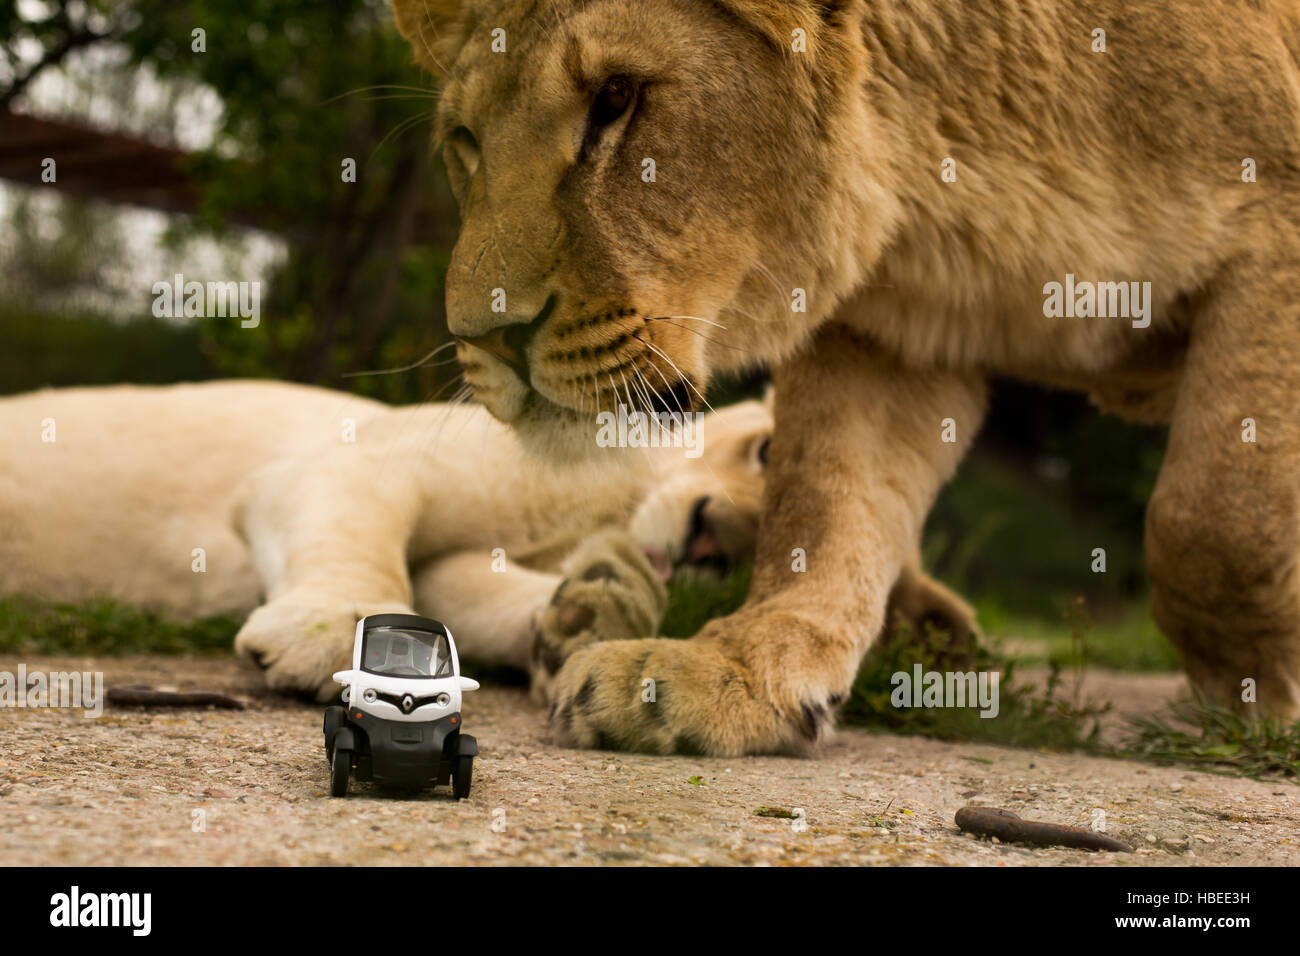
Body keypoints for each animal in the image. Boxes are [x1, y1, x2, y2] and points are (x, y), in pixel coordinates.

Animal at [0, 380, 975, 699]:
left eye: (746, 565)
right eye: (766, 450)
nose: (706, 537)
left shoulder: (457, 559)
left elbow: (472, 596)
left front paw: (591, 618)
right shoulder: (351, 460)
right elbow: (369, 554)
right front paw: (327, 646)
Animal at [387, 0, 1300, 753]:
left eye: (617, 96)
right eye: (467, 143)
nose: (486, 338)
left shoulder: (1275, 238)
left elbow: (1213, 521)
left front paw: (1260, 700)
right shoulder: (894, 332)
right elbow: (827, 508)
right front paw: (732, 676)